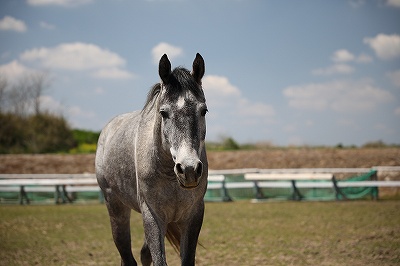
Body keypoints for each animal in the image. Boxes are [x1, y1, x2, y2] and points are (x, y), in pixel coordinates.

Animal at [95, 53, 208, 264]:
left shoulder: (193, 215)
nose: (188, 170)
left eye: (203, 110)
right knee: (126, 255)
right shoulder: (152, 216)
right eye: (163, 112)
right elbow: (159, 260)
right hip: (115, 207)